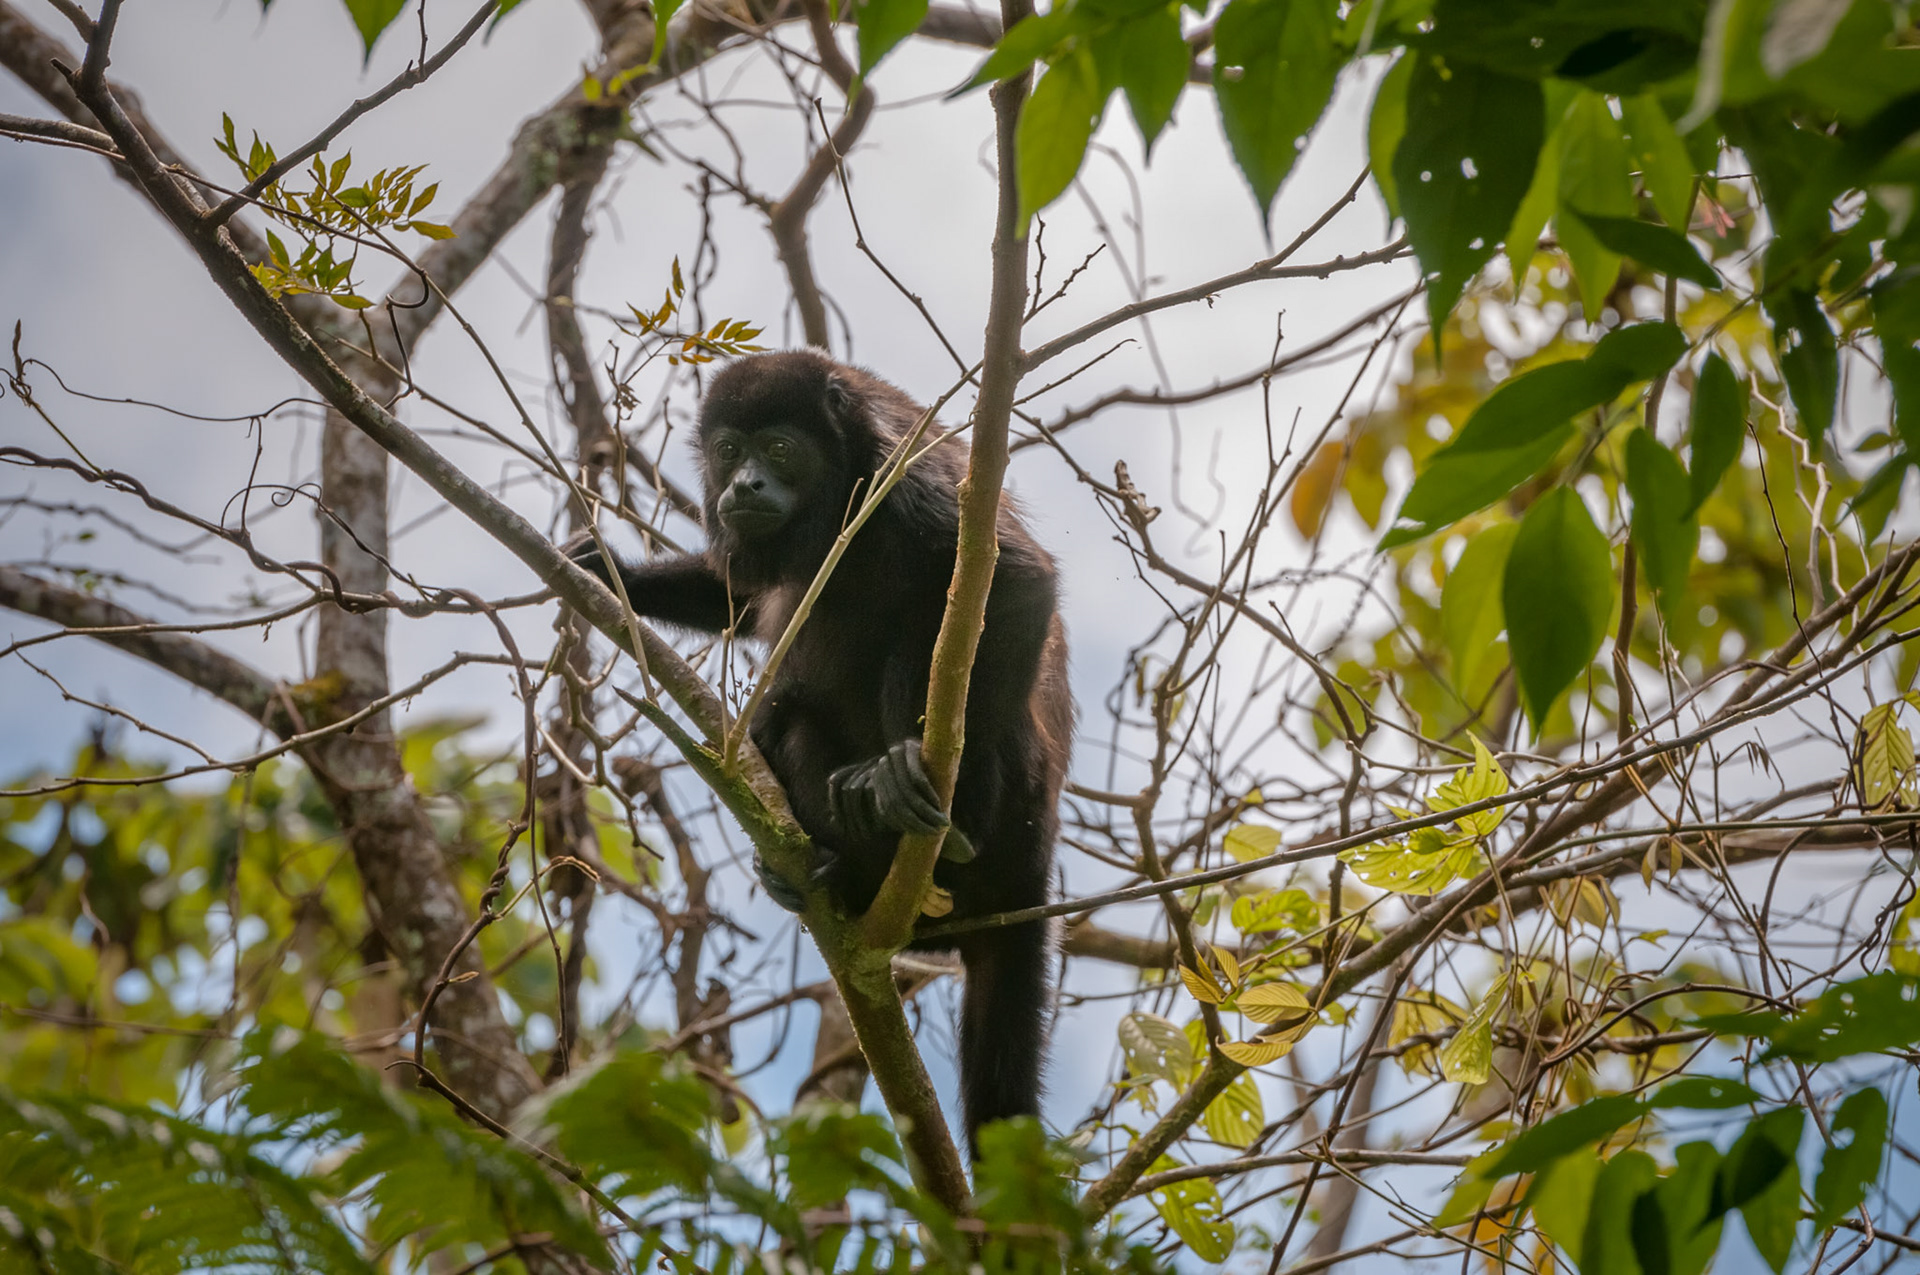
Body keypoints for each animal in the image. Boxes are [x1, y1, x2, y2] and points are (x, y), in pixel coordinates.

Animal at [568, 350, 1071, 1155]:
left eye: (779, 449)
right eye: (728, 450)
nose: (744, 484)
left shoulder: (908, 472)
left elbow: (1020, 576)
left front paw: (935, 790)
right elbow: (741, 593)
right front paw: (610, 569)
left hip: (1018, 802)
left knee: (922, 645)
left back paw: (913, 802)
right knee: (788, 714)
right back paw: (825, 870)